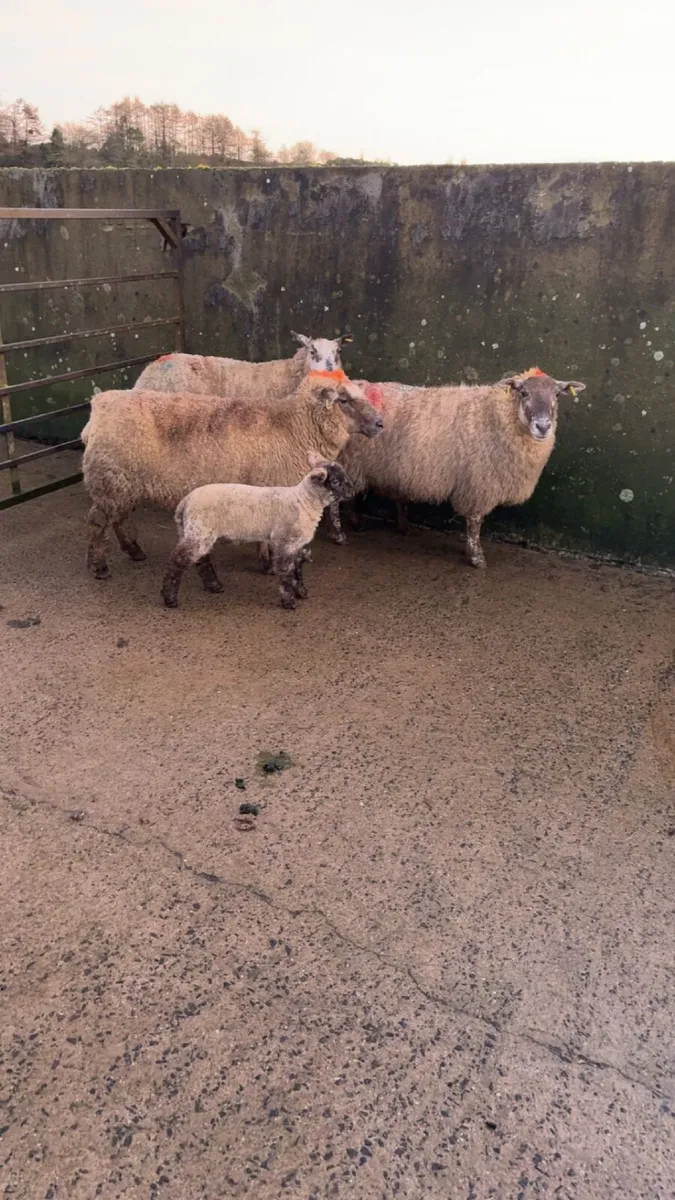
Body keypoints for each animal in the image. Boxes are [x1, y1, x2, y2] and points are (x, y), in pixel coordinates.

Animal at [82, 374, 382, 583]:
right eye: (343, 400)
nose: (380, 423)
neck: (293, 428)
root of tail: (101, 403)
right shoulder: (270, 488)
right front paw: (268, 564)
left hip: (122, 482)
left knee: (118, 518)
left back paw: (133, 550)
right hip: (110, 479)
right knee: (97, 522)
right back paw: (99, 567)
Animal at [161, 452, 354, 611]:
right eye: (335, 481)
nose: (352, 492)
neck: (303, 501)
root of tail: (185, 502)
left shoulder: (298, 545)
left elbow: (298, 572)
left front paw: (301, 592)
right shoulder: (285, 543)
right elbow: (286, 574)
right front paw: (289, 601)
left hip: (200, 533)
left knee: (202, 560)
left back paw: (214, 586)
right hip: (198, 532)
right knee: (177, 560)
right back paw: (169, 598)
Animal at [329, 368, 586, 568]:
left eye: (557, 394)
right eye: (523, 392)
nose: (543, 426)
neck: (497, 415)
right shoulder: (479, 483)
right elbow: (475, 523)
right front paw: (476, 558)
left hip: (357, 465)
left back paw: (358, 524)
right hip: (347, 462)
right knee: (333, 501)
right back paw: (339, 536)